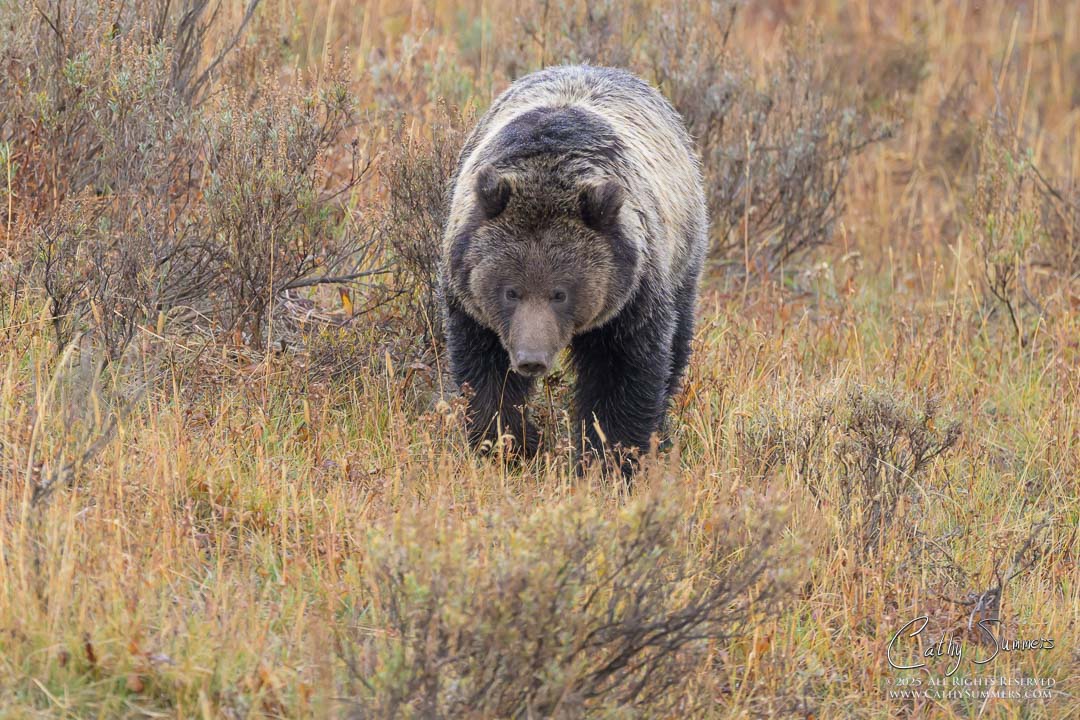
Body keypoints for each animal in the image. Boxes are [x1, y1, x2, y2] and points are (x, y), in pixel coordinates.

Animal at [440, 64, 708, 476]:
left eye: (559, 292)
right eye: (510, 290)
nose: (531, 358)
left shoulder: (630, 298)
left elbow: (623, 375)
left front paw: (610, 459)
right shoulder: (472, 303)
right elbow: (485, 376)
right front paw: (509, 445)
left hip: (684, 253)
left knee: (677, 345)